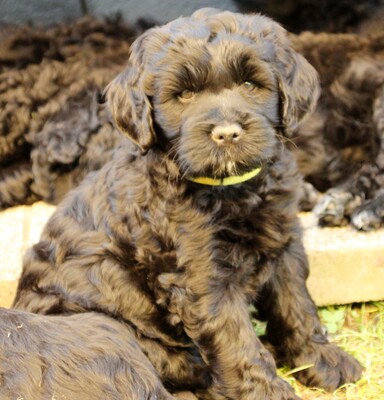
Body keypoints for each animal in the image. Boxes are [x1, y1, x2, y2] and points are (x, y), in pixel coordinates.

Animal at [5, 8, 364, 400]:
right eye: (185, 94)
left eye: (250, 84)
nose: (226, 133)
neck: (229, 189)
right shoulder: (201, 278)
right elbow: (237, 342)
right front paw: (269, 390)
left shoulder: (282, 240)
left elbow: (295, 303)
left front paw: (322, 358)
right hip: (111, 332)